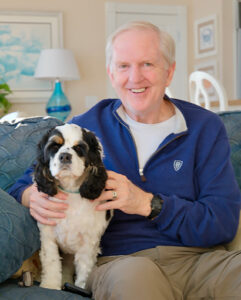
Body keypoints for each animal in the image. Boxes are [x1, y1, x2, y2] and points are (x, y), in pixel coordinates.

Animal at [34, 123, 111, 290]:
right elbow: (51, 263)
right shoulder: (48, 236)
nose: (64, 156)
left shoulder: (88, 243)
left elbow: (84, 269)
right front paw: (50, 285)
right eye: (54, 146)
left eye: (79, 148)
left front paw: (80, 288)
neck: (70, 189)